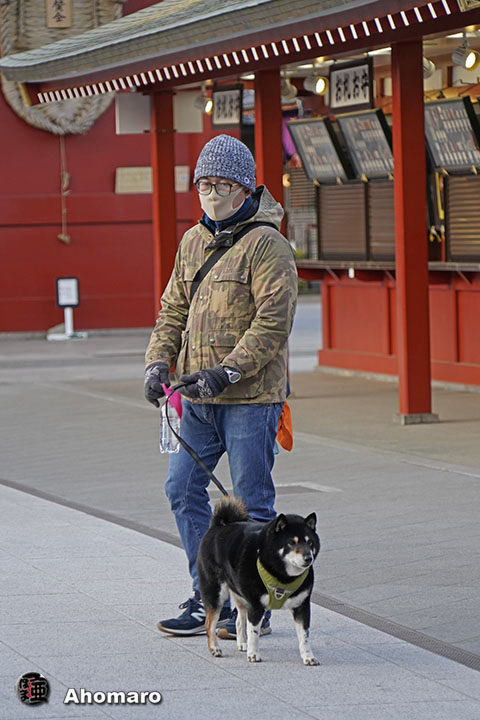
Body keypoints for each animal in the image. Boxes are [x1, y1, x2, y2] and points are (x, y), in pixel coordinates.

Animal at [197, 496, 320, 665]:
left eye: (309, 542)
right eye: (291, 542)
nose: (308, 558)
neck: (284, 577)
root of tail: (218, 526)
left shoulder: (302, 607)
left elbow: (304, 636)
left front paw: (308, 656)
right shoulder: (256, 606)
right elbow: (254, 633)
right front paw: (253, 654)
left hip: (240, 594)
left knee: (239, 620)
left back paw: (242, 643)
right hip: (216, 593)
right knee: (210, 623)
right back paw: (215, 648)